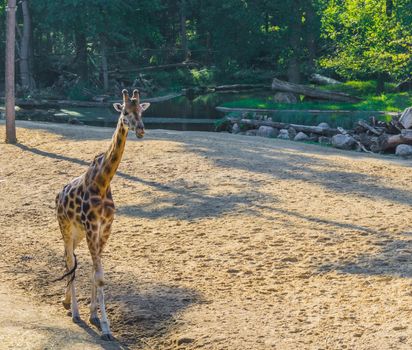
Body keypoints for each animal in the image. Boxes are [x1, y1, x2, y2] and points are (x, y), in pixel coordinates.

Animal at [54, 89, 150, 340]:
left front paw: (94, 316)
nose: (141, 130)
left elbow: (95, 273)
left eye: (142, 110)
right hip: (66, 227)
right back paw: (74, 312)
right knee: (69, 260)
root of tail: (58, 195)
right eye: (125, 112)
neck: (103, 181)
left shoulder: (105, 228)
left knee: (70, 258)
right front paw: (105, 328)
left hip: (77, 233)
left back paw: (67, 302)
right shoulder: (91, 227)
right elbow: (99, 276)